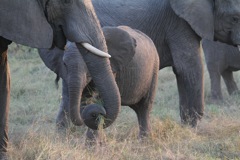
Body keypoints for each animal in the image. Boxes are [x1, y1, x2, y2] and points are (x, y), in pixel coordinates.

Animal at [92, 0, 240, 127]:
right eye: (234, 18)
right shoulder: (178, 23)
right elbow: (188, 68)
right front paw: (192, 126)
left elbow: (181, 72)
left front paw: (186, 126)